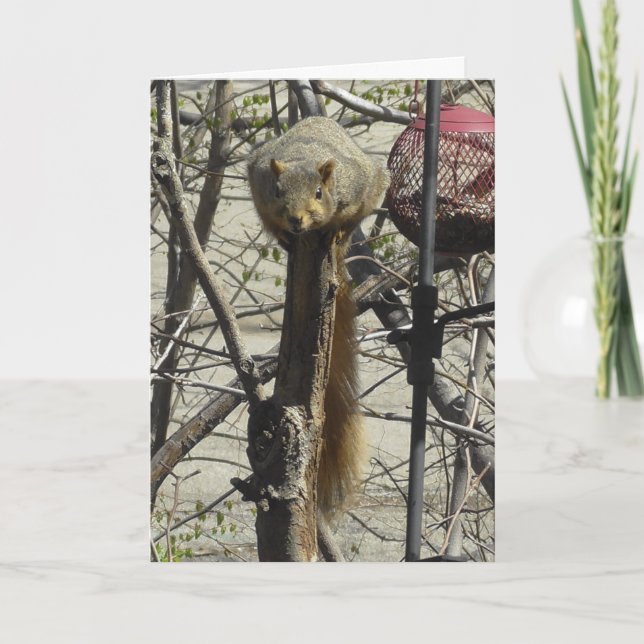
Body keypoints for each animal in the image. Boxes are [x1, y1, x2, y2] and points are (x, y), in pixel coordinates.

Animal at [247, 116, 390, 518]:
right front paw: (283, 236)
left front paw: (337, 229)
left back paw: (335, 235)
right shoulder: (258, 188)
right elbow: (270, 221)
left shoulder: (358, 189)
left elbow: (350, 216)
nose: (296, 221)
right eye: (277, 191)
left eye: (318, 193)